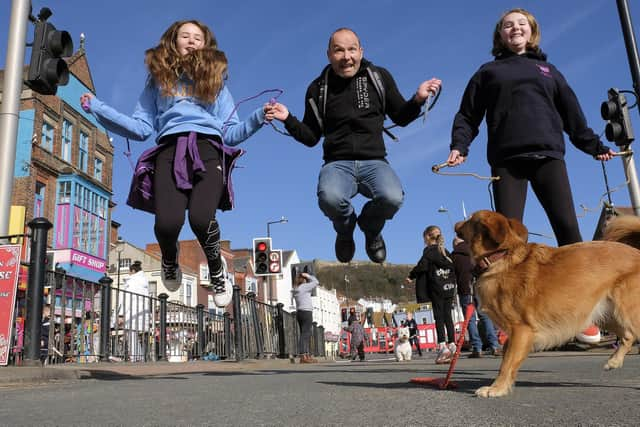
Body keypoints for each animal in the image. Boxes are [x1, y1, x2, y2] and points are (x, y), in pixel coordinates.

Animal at [458, 211, 640, 398]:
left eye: (469, 219)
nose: (457, 224)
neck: (500, 258)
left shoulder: (521, 330)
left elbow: (507, 362)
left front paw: (497, 388)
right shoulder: (515, 335)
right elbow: (507, 358)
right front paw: (504, 385)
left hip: (627, 313)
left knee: (631, 333)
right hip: (605, 315)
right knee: (628, 335)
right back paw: (614, 361)